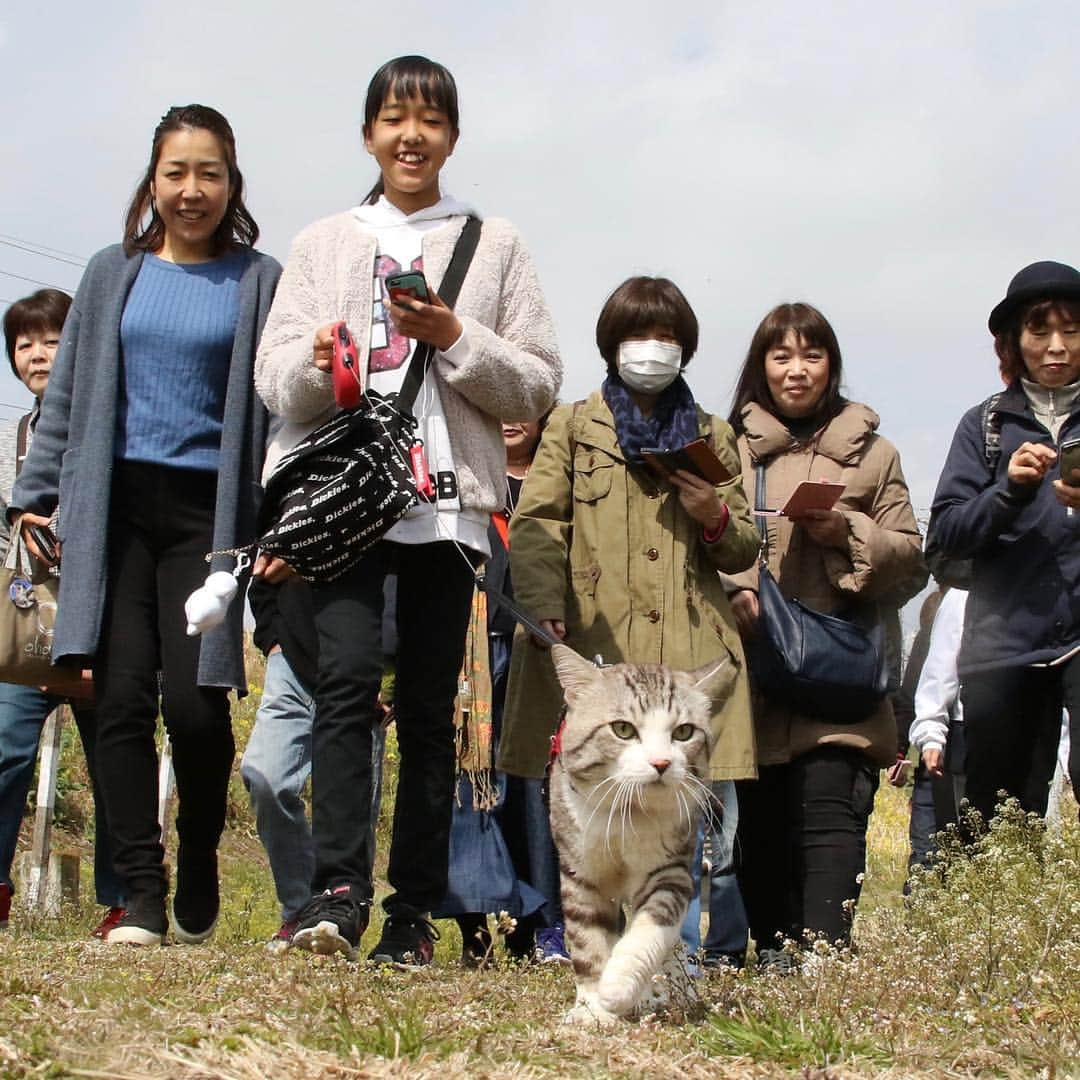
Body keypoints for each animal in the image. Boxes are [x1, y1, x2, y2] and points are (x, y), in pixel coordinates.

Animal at [548, 643, 734, 1023]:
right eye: (622, 729)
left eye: (684, 732)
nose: (661, 763)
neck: (626, 814)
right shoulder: (579, 871)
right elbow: (587, 939)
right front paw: (591, 1009)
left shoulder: (671, 867)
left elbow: (653, 923)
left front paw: (618, 986)